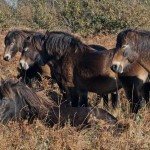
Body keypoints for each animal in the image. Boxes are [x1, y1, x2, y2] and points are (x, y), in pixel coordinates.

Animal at [19, 31, 149, 112]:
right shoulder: (83, 90)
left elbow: (75, 105)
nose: (21, 64)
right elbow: (83, 105)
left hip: (131, 87)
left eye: (26, 48)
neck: (65, 54)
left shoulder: (71, 88)